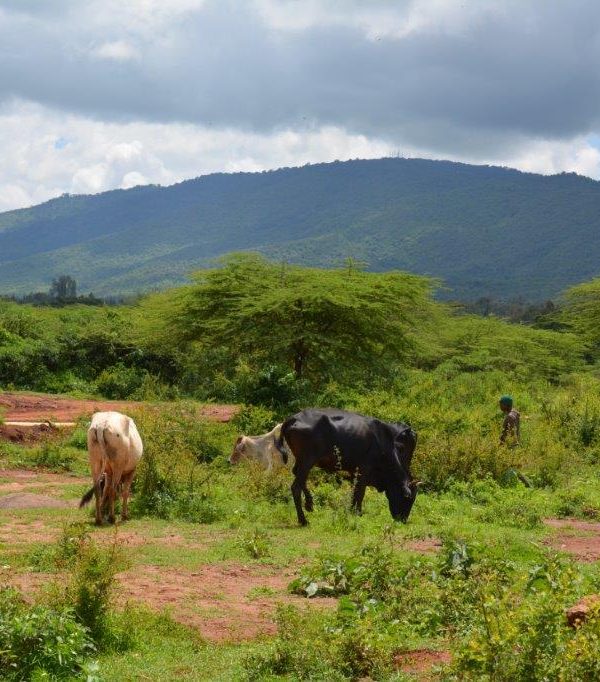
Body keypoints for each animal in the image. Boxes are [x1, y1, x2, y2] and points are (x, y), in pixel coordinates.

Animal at [276, 406, 418, 524]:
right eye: (408, 499)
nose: (403, 520)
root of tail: (293, 418)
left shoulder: (354, 471)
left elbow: (354, 492)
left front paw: (351, 511)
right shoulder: (363, 470)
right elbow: (360, 492)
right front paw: (358, 512)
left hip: (302, 461)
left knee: (298, 477)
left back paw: (309, 504)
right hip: (307, 460)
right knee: (296, 487)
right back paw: (303, 520)